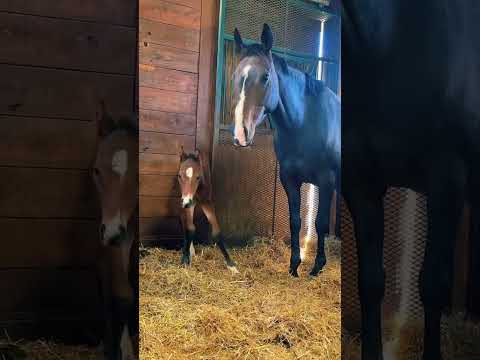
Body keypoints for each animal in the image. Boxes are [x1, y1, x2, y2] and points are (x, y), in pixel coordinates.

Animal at [231, 23, 340, 278]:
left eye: (266, 76)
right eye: (236, 76)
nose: (240, 134)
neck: (304, 121)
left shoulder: (326, 180)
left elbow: (320, 222)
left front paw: (317, 266)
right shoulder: (289, 179)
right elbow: (295, 220)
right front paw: (294, 265)